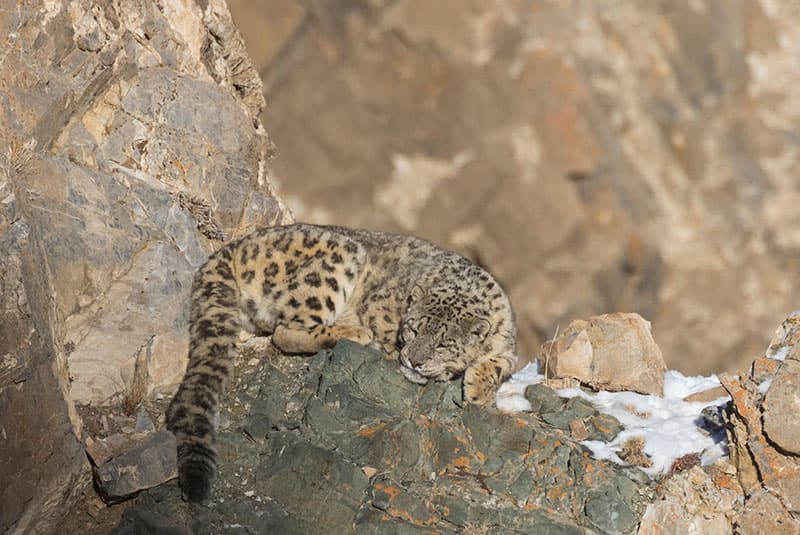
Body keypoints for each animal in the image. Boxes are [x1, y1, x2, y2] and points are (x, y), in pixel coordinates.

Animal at [166, 223, 517, 501]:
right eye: (414, 329)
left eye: (444, 344)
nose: (415, 361)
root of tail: (234, 246)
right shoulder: (381, 308)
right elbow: (385, 333)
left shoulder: (508, 345)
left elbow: (502, 364)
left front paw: (479, 390)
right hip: (335, 263)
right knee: (286, 330)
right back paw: (352, 333)